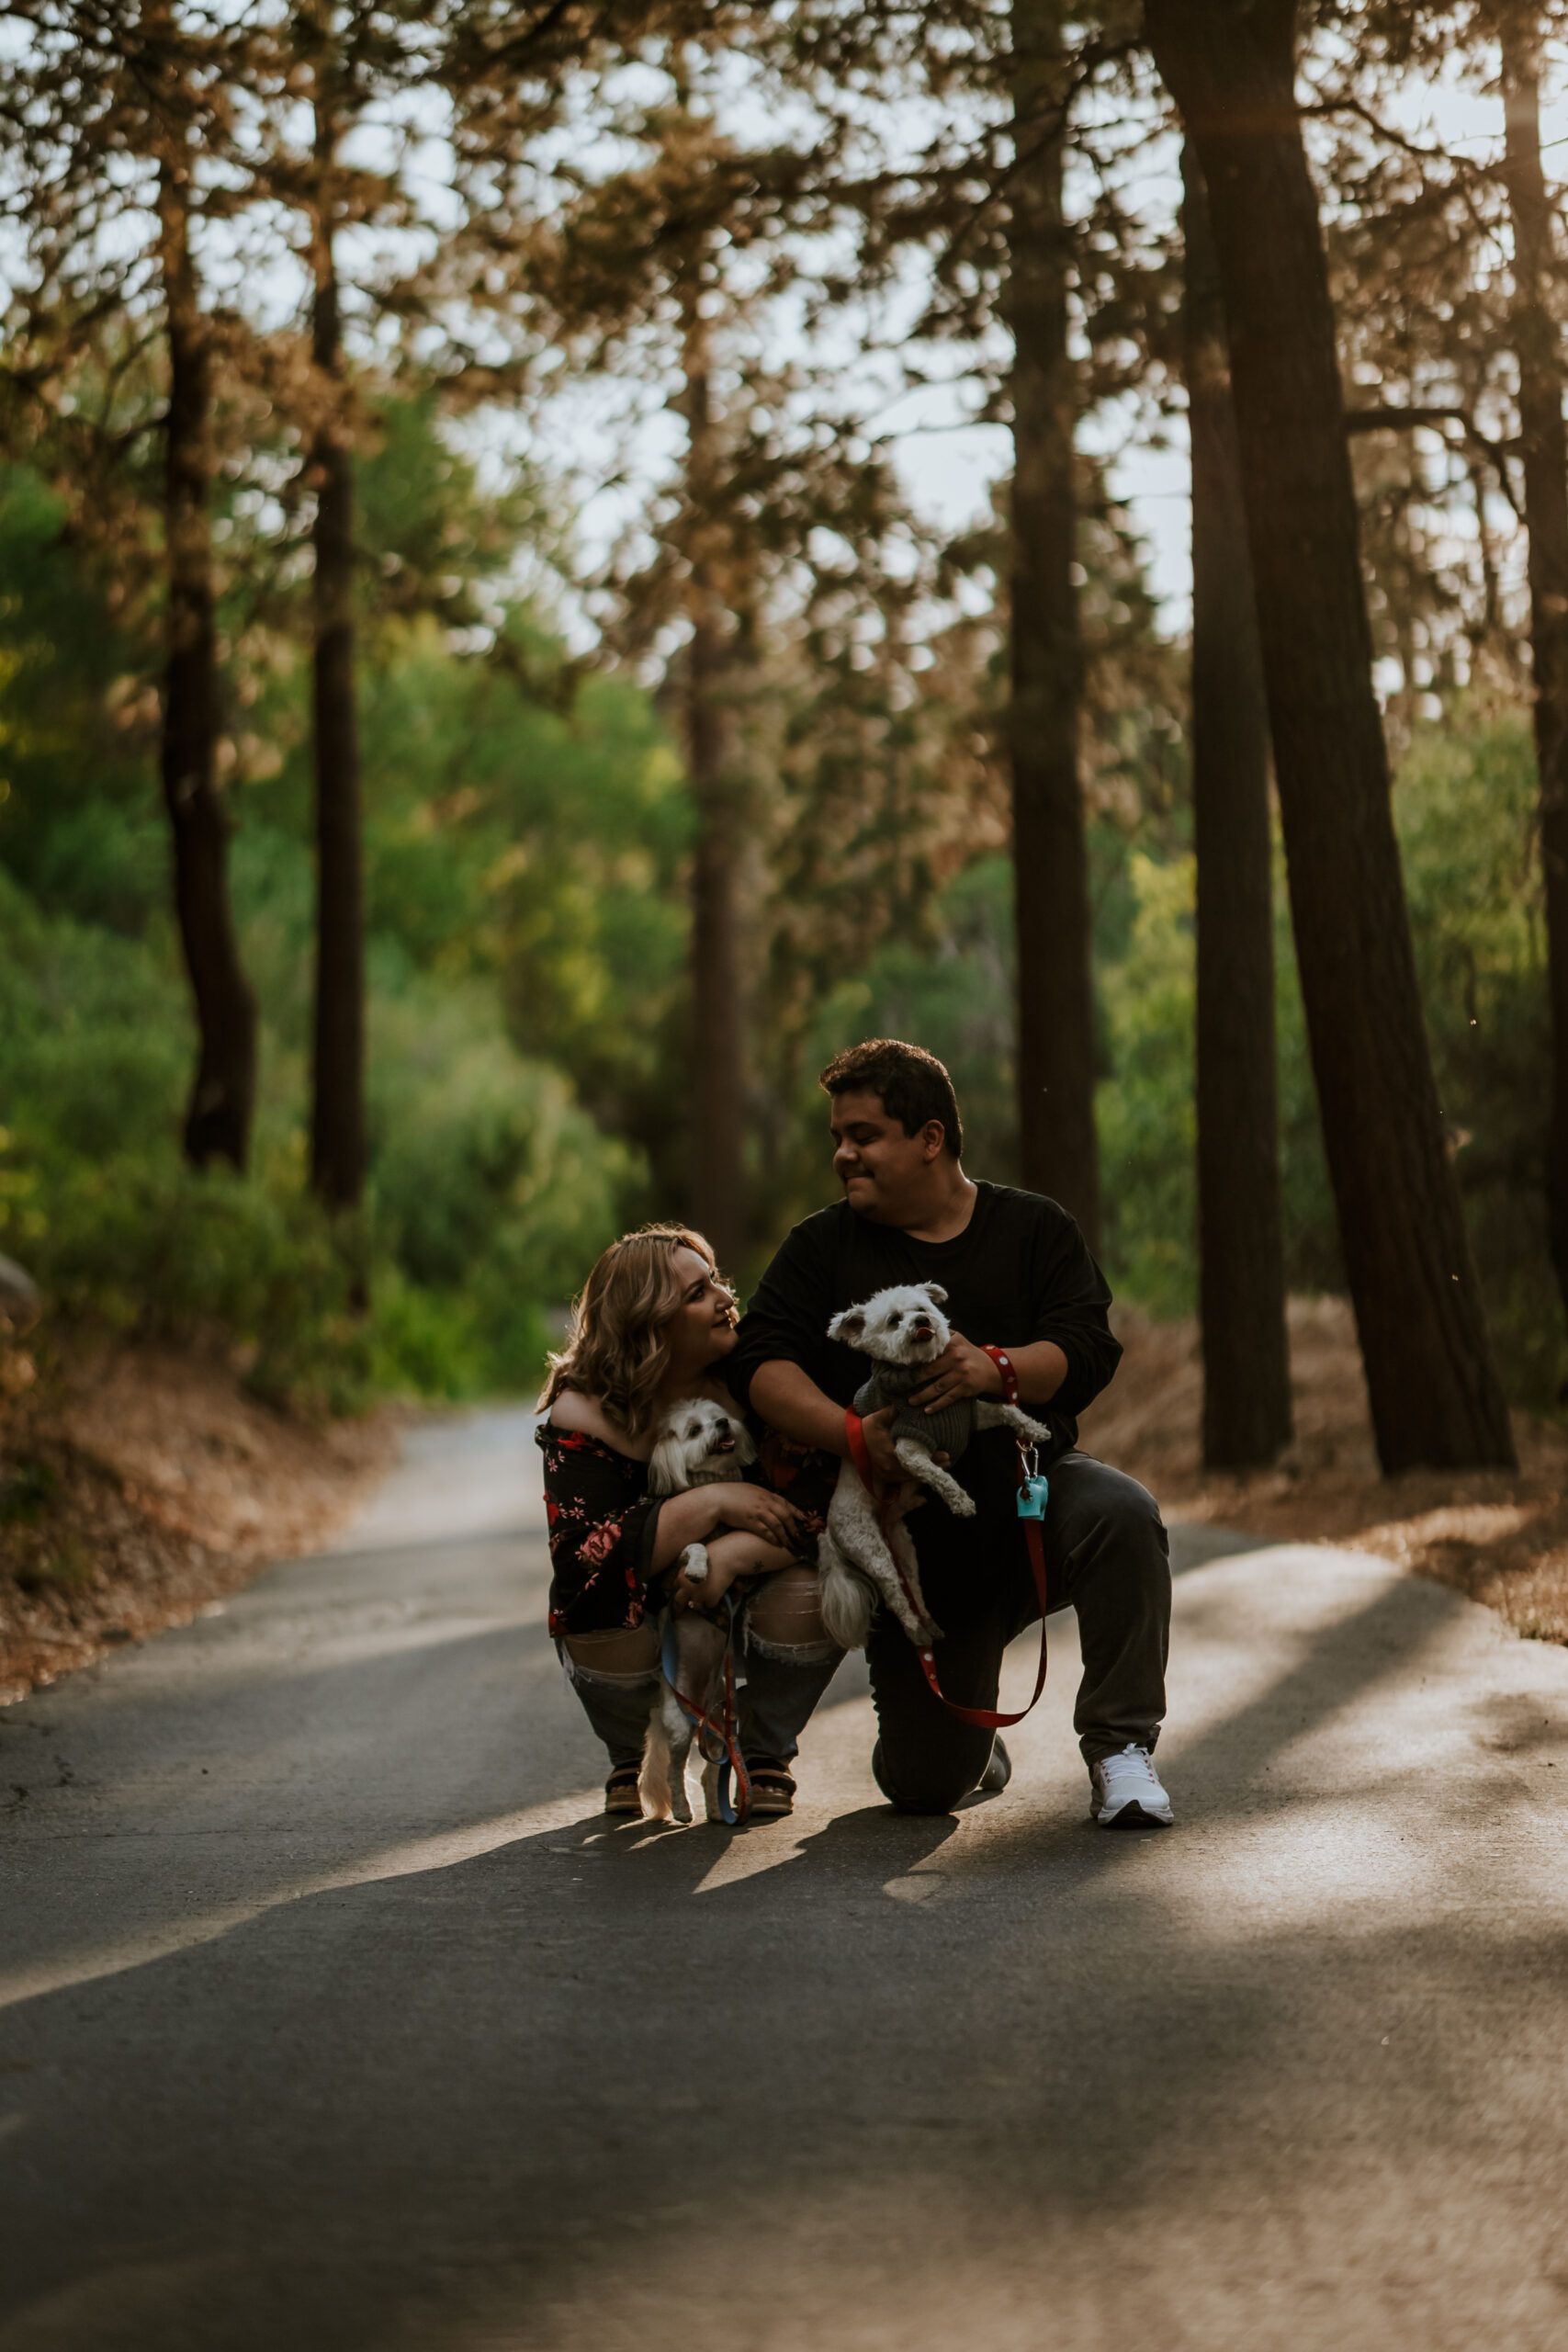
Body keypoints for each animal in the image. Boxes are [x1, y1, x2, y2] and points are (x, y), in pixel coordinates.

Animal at [639, 1383, 757, 1825]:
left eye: (718, 1414)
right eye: (694, 1429)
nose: (724, 1423)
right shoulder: (670, 1563)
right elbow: (694, 1548)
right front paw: (699, 1569)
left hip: (725, 1724)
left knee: (712, 1771)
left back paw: (717, 1809)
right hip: (677, 1726)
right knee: (675, 1770)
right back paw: (683, 1810)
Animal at [822, 1288, 1053, 1656]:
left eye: (921, 1307)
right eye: (893, 1320)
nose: (921, 1320)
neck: (919, 1378)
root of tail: (829, 1530)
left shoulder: (970, 1414)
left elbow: (1005, 1409)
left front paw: (1033, 1429)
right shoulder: (906, 1448)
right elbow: (939, 1475)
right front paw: (961, 1502)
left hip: (903, 1547)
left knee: (914, 1590)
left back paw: (929, 1625)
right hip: (870, 1547)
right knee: (895, 1594)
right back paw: (917, 1633)